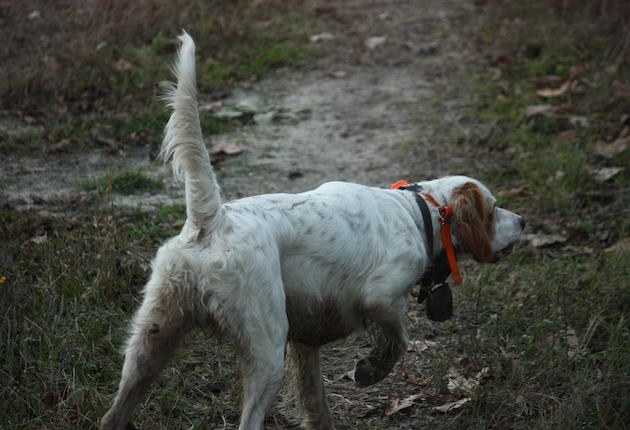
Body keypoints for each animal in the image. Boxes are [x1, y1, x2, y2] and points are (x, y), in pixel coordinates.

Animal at [101, 32, 524, 430]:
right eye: (493, 208)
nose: (523, 222)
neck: (420, 213)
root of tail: (212, 219)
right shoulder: (381, 296)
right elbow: (398, 339)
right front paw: (370, 371)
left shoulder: (305, 341)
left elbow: (316, 401)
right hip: (265, 349)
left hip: (151, 340)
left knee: (113, 412)